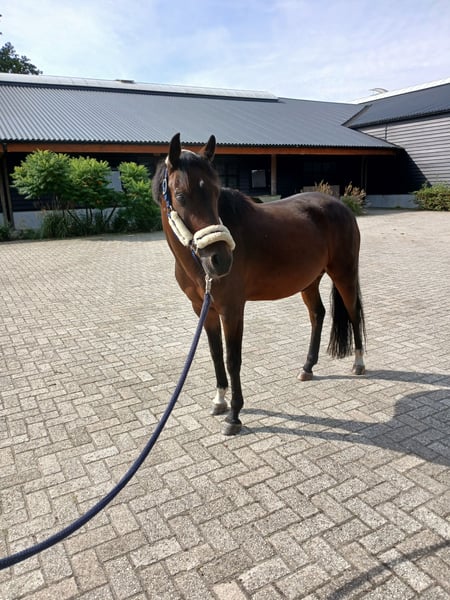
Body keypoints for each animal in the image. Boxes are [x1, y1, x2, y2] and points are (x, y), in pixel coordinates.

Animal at [152, 133, 366, 435]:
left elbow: (232, 359)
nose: (220, 260)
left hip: (344, 274)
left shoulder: (232, 309)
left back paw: (358, 363)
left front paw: (234, 415)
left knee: (352, 311)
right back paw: (307, 367)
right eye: (180, 195)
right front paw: (219, 401)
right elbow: (215, 354)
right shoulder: (203, 309)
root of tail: (341, 206)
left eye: (216, 193)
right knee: (318, 314)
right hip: (309, 281)